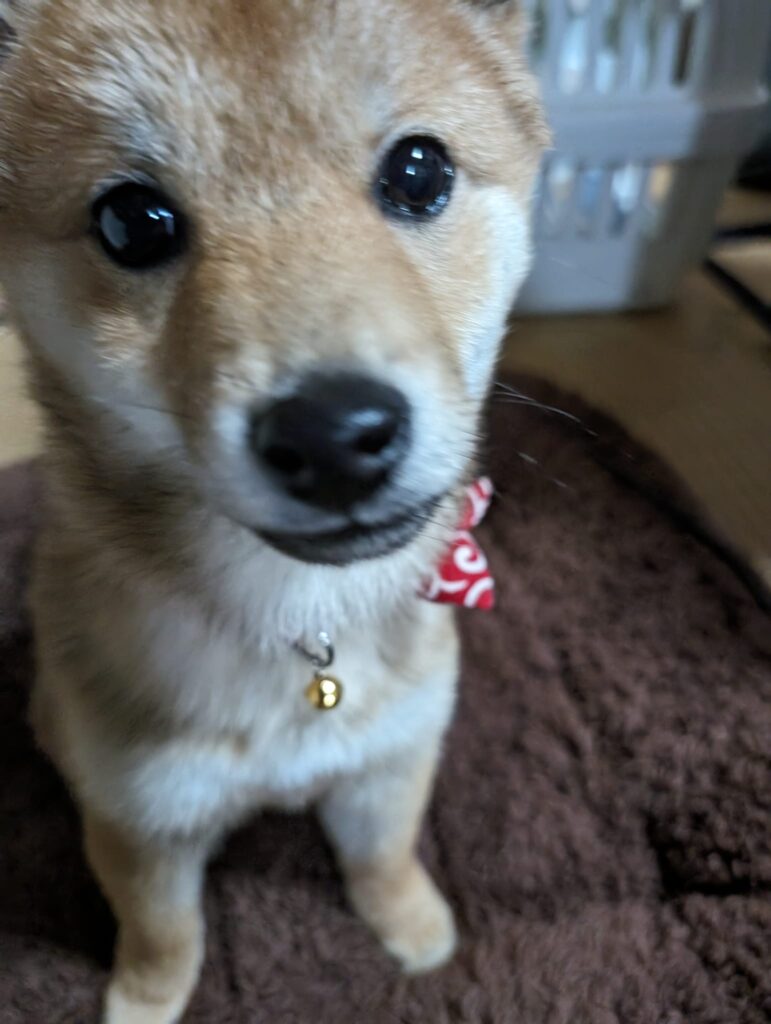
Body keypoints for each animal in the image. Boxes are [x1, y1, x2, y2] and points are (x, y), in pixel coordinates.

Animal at [0, 1, 547, 1020]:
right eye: (131, 220)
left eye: (420, 171)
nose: (334, 435)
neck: (302, 619)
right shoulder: (141, 817)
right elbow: (164, 935)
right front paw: (142, 1004)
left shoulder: (392, 757)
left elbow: (383, 858)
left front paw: (416, 931)